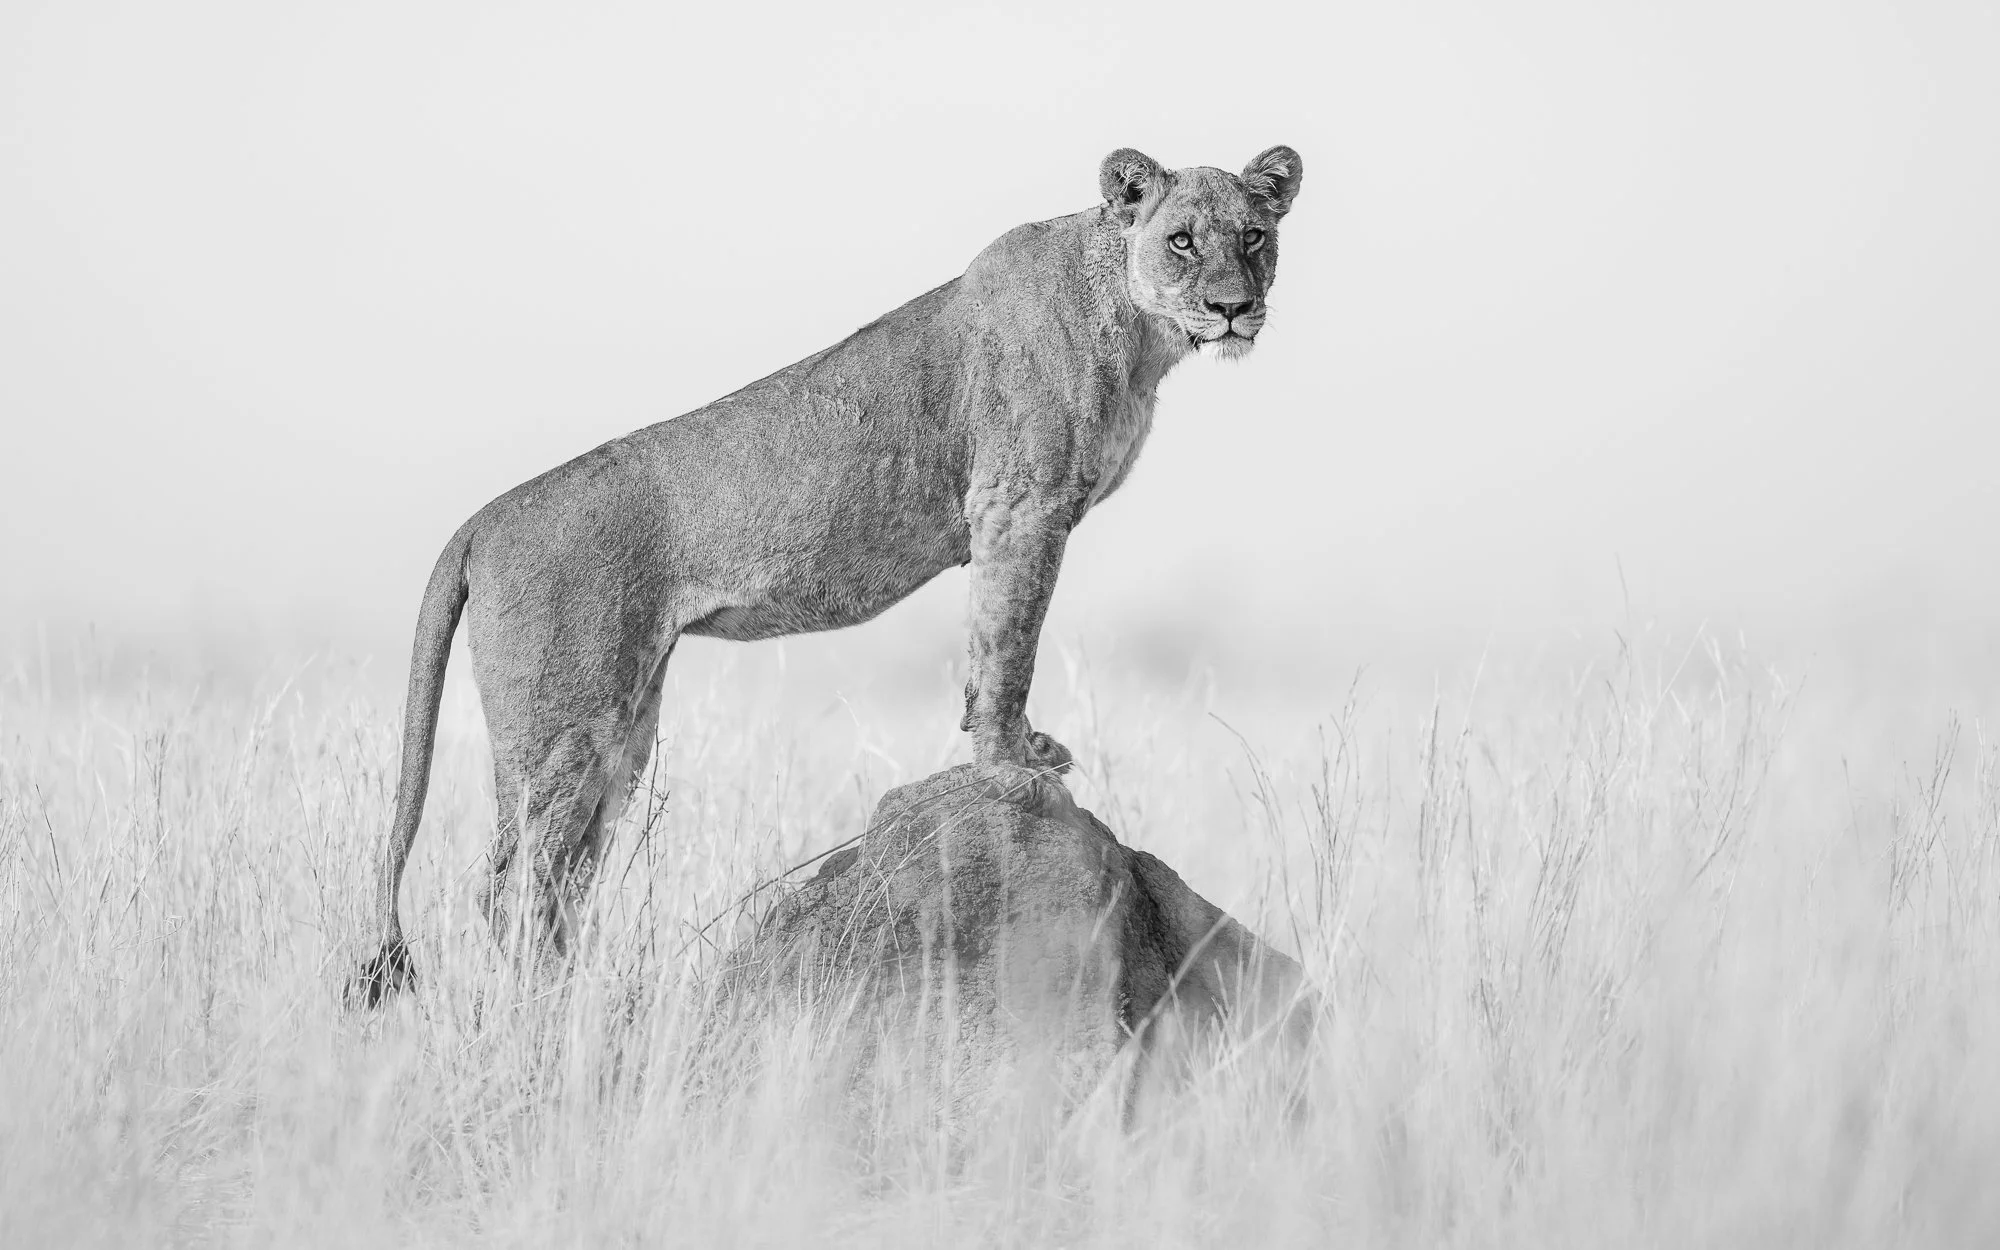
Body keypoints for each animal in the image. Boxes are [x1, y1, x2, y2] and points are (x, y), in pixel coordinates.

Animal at [349, 144, 1304, 1004]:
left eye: (1254, 236)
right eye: (1181, 239)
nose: (1233, 308)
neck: (1140, 335)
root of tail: (480, 520)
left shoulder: (1012, 517)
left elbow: (986, 642)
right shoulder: (1019, 505)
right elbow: (1011, 644)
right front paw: (1013, 769)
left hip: (620, 732)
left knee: (560, 884)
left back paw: (577, 1006)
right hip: (563, 728)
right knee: (510, 886)